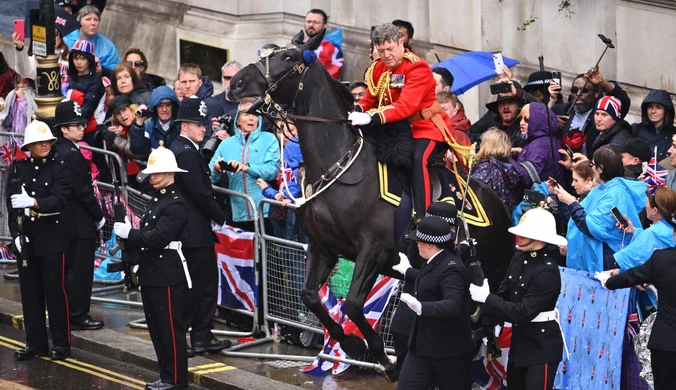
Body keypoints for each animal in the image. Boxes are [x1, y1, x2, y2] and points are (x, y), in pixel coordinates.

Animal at [230, 30, 516, 380]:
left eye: (289, 58)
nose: (236, 84)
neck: (341, 165)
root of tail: (502, 209)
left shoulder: (373, 250)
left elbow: (353, 303)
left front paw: (381, 357)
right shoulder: (323, 248)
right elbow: (310, 296)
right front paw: (352, 345)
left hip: (487, 274)